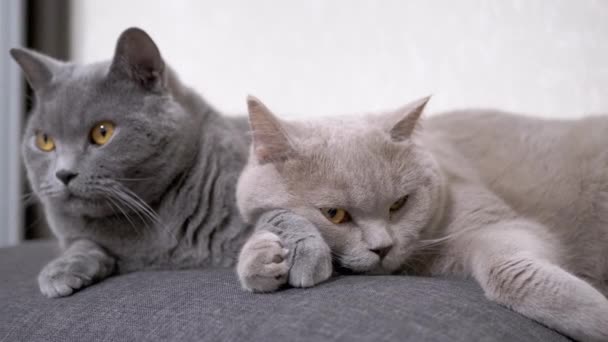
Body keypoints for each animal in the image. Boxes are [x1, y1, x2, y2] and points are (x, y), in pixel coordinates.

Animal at [235, 95, 608, 342]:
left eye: (399, 203)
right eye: (335, 214)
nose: (382, 247)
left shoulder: (497, 221)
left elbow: (512, 272)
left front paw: (597, 319)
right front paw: (262, 259)